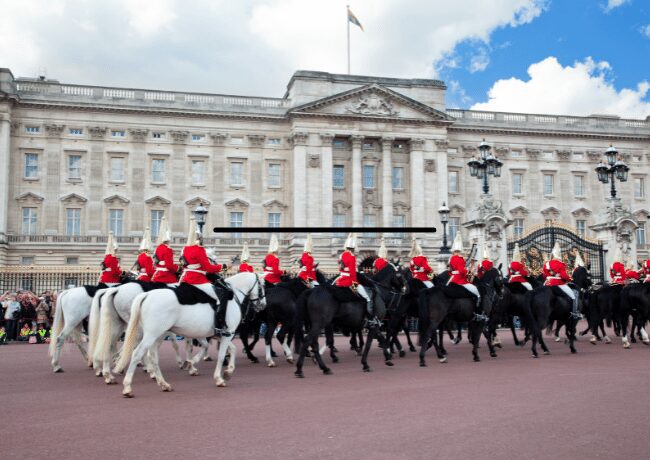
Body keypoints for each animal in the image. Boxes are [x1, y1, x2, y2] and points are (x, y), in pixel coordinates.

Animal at [114, 272, 264, 398]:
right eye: (262, 286)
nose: (262, 305)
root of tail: (147, 295)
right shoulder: (227, 334)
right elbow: (221, 355)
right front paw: (218, 378)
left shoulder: (221, 334)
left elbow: (231, 349)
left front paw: (227, 372)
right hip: (152, 334)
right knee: (137, 353)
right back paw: (127, 387)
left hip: (157, 335)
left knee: (152, 356)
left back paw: (163, 384)